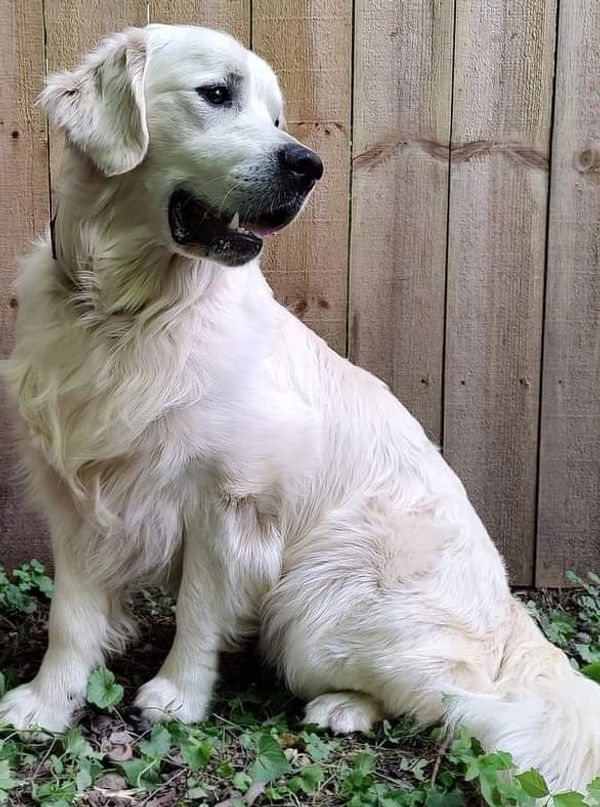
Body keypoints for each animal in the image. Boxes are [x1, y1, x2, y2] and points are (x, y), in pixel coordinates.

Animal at [1, 23, 600, 788]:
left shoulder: (230, 497)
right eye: (217, 94)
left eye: (278, 116)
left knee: (445, 694)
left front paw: (177, 696)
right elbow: (71, 616)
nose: (308, 166)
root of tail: (507, 615)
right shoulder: (76, 491)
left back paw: (341, 706)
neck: (128, 311)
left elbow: (199, 606)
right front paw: (48, 702)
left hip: (318, 594)